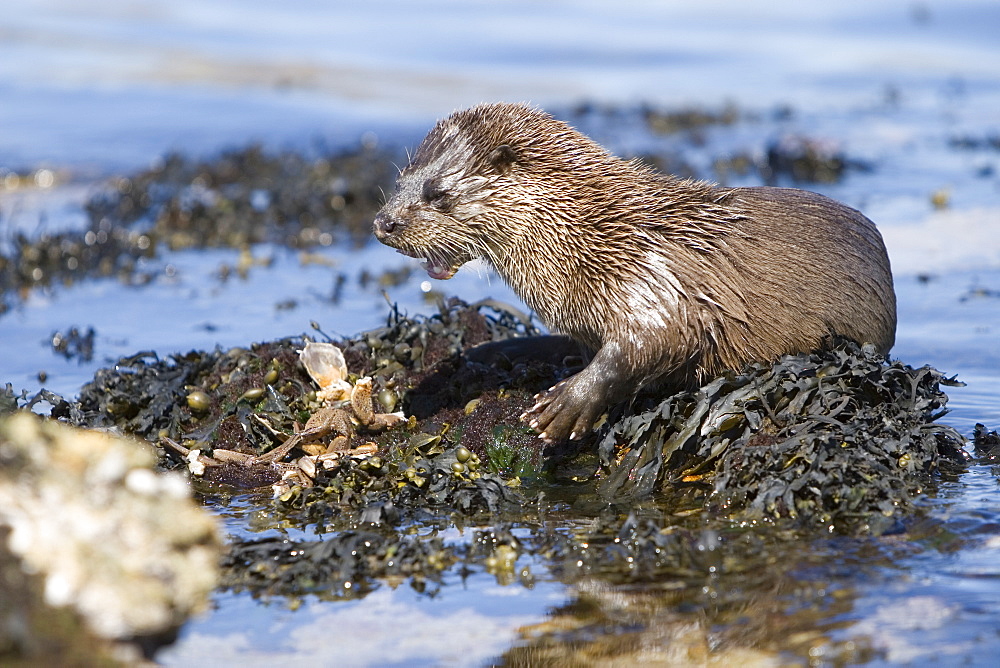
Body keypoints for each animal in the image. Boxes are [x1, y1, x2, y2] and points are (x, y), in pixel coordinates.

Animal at [374, 102, 900, 440]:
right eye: (401, 180)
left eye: (438, 193)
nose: (383, 222)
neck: (586, 235)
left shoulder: (653, 278)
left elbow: (652, 342)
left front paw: (568, 404)